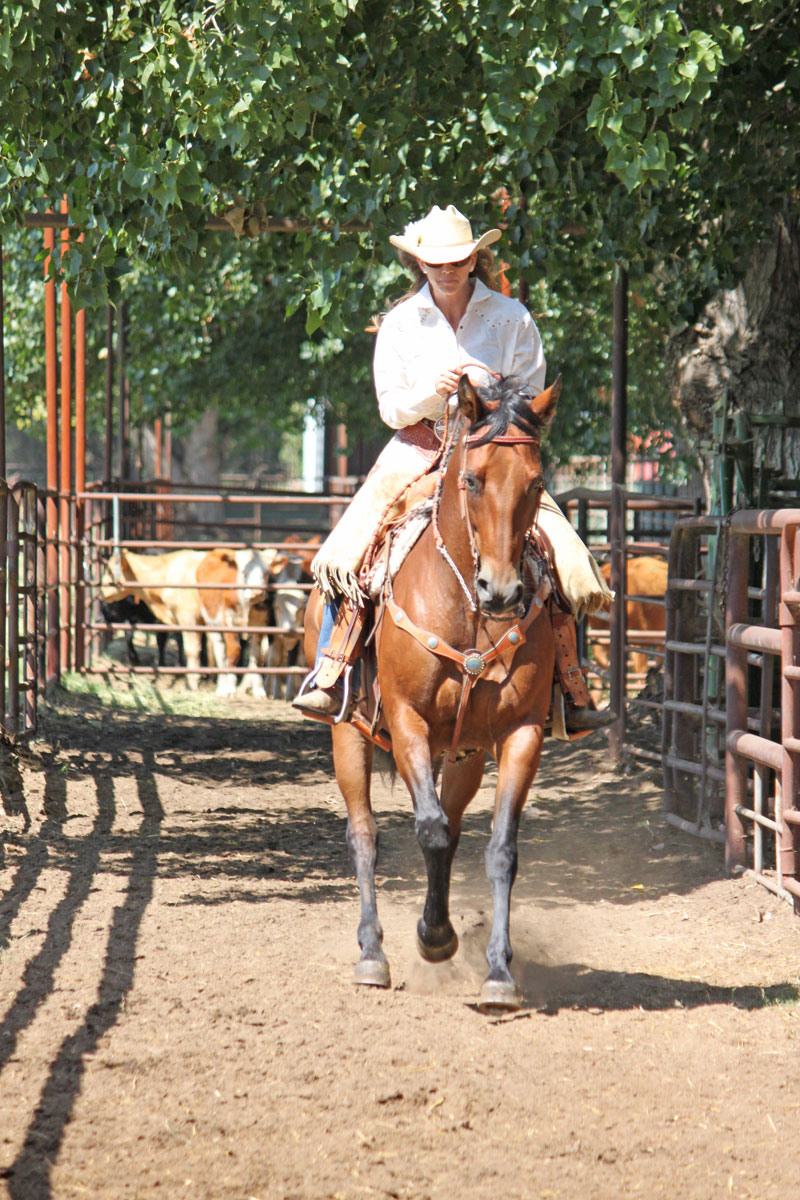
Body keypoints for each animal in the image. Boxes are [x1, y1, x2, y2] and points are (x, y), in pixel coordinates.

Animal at [303, 374, 561, 1012]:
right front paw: (434, 937)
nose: (502, 591)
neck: (465, 611)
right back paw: (373, 955)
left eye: (536, 482)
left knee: (455, 823)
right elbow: (430, 830)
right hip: (348, 735)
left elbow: (498, 848)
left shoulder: (521, 733)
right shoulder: (407, 722)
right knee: (364, 835)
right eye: (472, 479)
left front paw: (497, 973)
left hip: (465, 754)